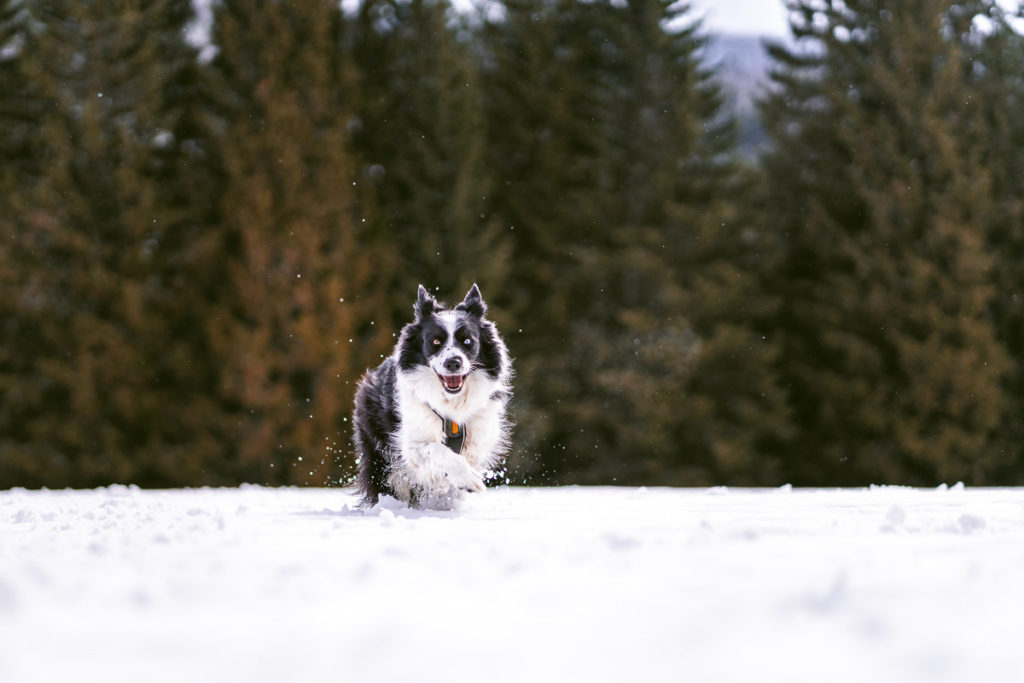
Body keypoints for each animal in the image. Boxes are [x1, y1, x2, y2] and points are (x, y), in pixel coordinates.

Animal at [352, 282, 512, 507]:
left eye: (468, 341)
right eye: (436, 342)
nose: (453, 362)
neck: (451, 403)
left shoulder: (477, 438)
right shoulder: (410, 444)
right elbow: (437, 450)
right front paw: (468, 478)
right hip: (379, 450)